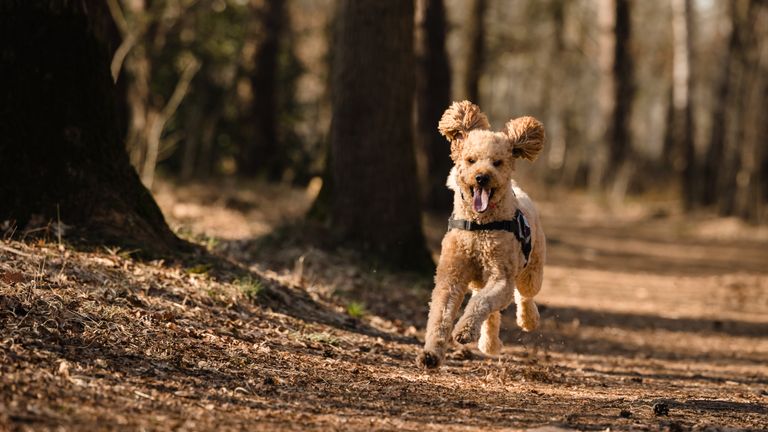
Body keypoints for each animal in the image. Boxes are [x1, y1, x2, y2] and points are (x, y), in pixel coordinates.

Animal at [414, 100, 544, 368]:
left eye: (497, 162)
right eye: (471, 160)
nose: (482, 177)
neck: (478, 227)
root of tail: (518, 190)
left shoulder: (501, 277)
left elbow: (481, 303)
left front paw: (463, 331)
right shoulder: (451, 276)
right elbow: (440, 315)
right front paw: (431, 354)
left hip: (531, 271)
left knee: (523, 295)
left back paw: (528, 320)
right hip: (480, 281)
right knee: (491, 313)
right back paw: (489, 344)